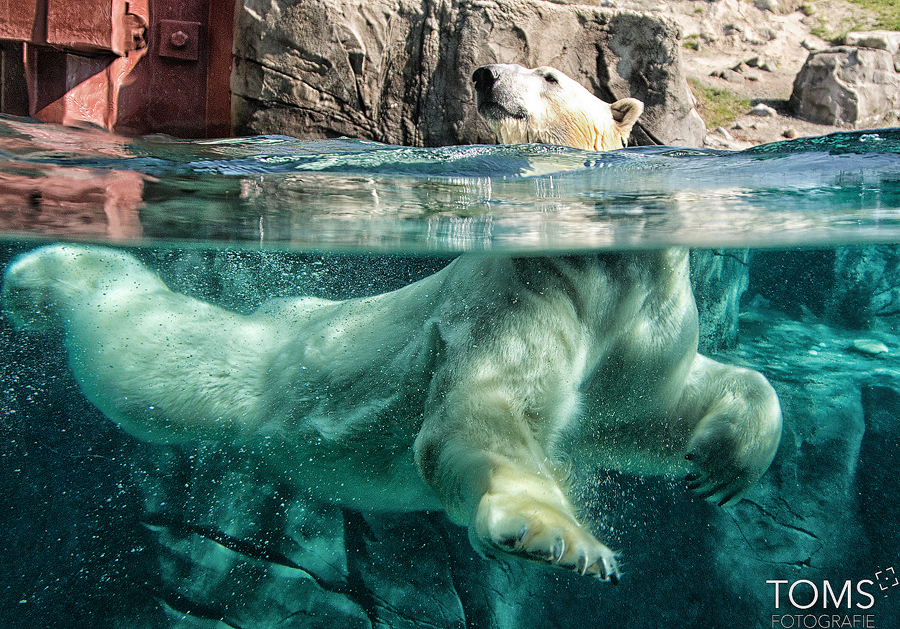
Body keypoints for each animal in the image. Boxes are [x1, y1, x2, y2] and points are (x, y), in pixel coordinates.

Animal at [1, 66, 780, 580]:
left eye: (551, 76)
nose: (483, 74)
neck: (594, 257)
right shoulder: (525, 286)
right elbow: (482, 408)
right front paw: (555, 535)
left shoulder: (639, 307)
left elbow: (646, 406)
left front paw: (722, 462)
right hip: (254, 376)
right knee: (145, 354)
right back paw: (44, 274)